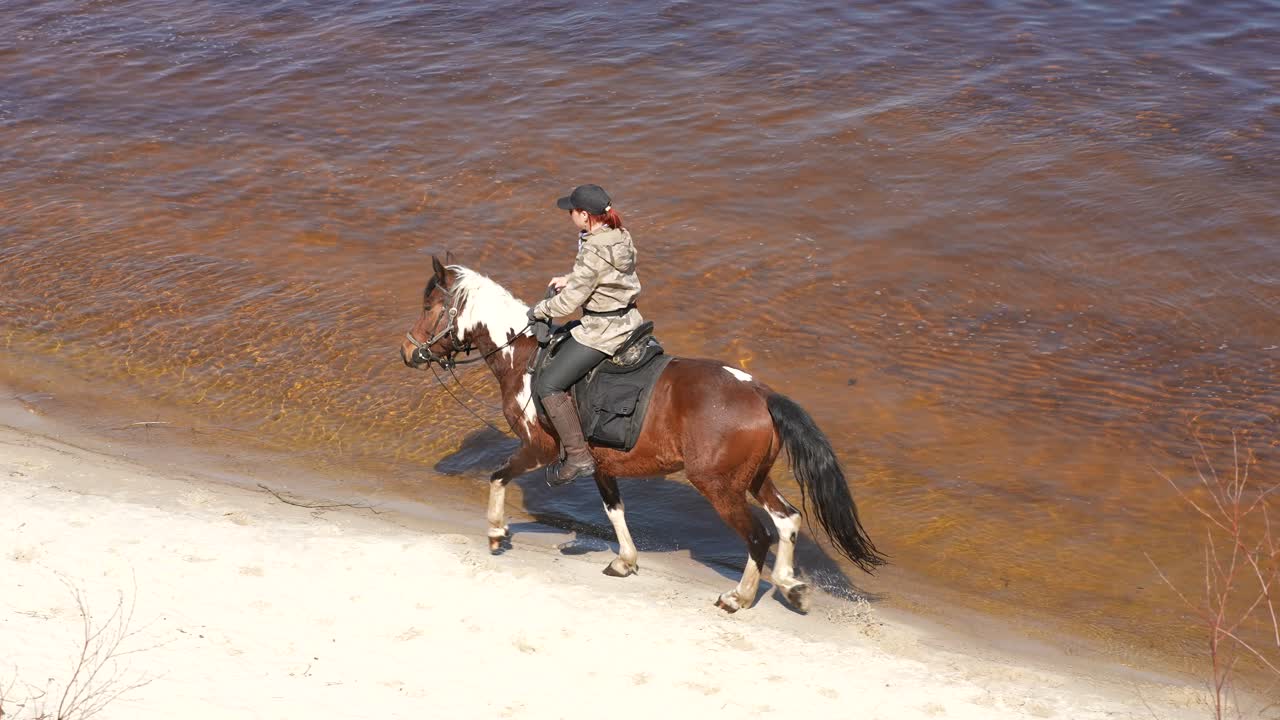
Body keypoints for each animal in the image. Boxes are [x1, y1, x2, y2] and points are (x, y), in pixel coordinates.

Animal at [400, 255, 884, 612]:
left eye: (429, 308)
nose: (407, 351)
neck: (523, 356)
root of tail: (761, 393)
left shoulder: (539, 448)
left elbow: (498, 476)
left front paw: (497, 532)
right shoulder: (599, 463)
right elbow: (614, 510)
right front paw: (624, 561)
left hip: (720, 486)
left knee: (758, 536)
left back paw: (740, 597)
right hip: (754, 478)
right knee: (788, 520)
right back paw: (790, 586)